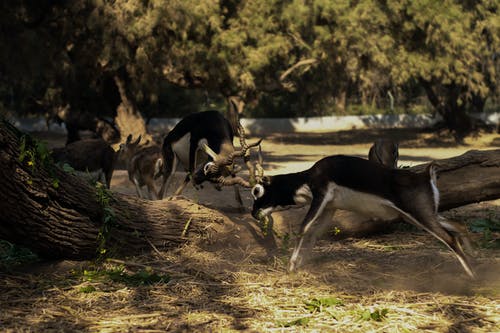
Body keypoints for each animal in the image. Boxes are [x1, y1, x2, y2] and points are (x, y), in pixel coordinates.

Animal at [252, 155, 474, 278]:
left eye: (256, 191)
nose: (253, 213)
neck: (308, 177)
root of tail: (426, 175)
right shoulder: (330, 208)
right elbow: (314, 234)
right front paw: (301, 264)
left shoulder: (321, 195)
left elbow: (303, 228)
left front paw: (290, 267)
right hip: (420, 215)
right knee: (459, 226)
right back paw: (473, 257)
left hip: (420, 215)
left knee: (450, 238)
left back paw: (473, 276)